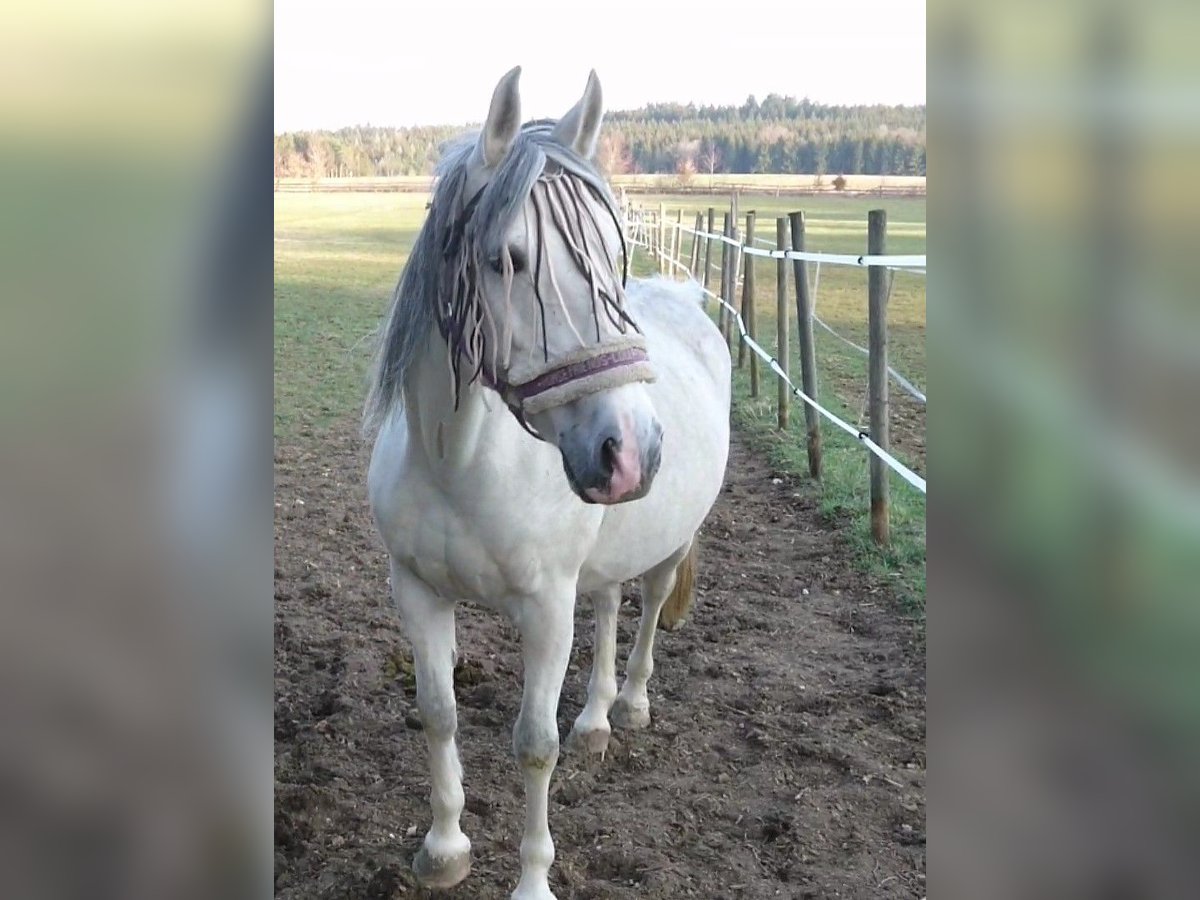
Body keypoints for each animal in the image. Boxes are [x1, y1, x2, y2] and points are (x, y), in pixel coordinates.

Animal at [360, 66, 724, 897]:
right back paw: (595, 720)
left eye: (614, 252)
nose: (632, 451)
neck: (458, 464)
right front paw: (445, 849)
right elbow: (439, 713)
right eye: (507, 259)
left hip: (672, 540)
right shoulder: (416, 590)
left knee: (648, 605)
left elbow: (534, 745)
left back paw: (630, 705)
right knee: (612, 605)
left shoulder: (546, 608)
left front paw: (531, 883)